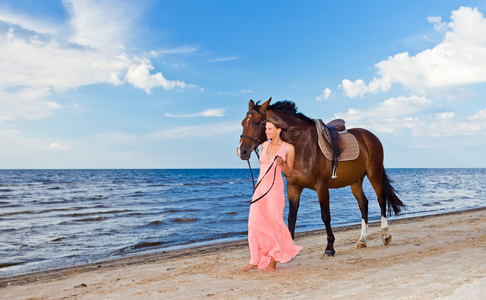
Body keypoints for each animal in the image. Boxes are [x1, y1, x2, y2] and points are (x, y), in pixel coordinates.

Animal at [237, 98, 404, 255]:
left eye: (257, 123)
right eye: (243, 123)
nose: (241, 151)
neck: (302, 144)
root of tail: (370, 136)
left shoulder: (321, 186)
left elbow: (325, 215)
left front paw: (330, 248)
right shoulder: (293, 187)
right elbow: (292, 217)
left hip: (374, 174)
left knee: (381, 199)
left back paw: (385, 234)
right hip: (355, 180)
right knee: (363, 204)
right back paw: (362, 239)